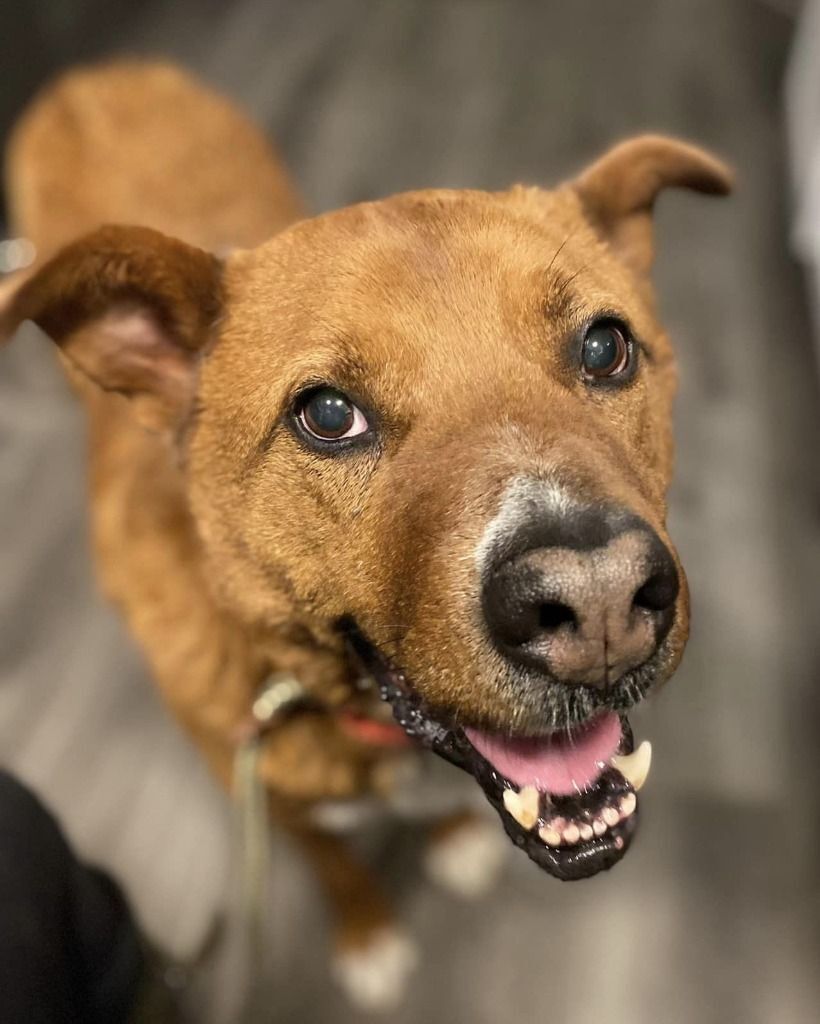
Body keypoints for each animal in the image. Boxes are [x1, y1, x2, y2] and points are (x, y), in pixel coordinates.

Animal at [0, 61, 728, 1007]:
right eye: (327, 415)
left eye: (605, 348)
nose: (600, 600)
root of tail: (96, 74)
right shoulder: (276, 804)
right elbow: (338, 867)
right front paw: (369, 935)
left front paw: (450, 838)